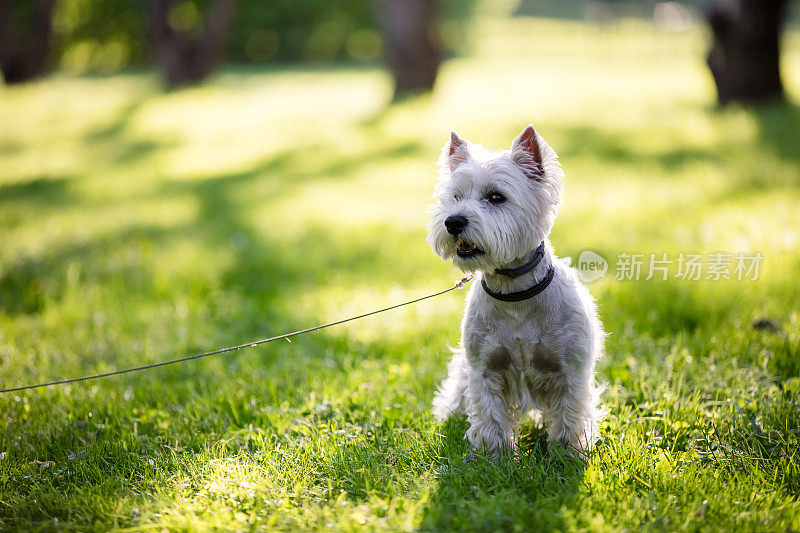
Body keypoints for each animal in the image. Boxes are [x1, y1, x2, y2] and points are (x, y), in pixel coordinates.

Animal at [428, 123, 604, 454]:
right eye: (455, 196)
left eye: (496, 196)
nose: (453, 222)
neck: (514, 293)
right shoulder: (485, 368)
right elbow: (489, 412)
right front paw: (493, 453)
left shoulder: (569, 369)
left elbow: (569, 412)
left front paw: (566, 452)